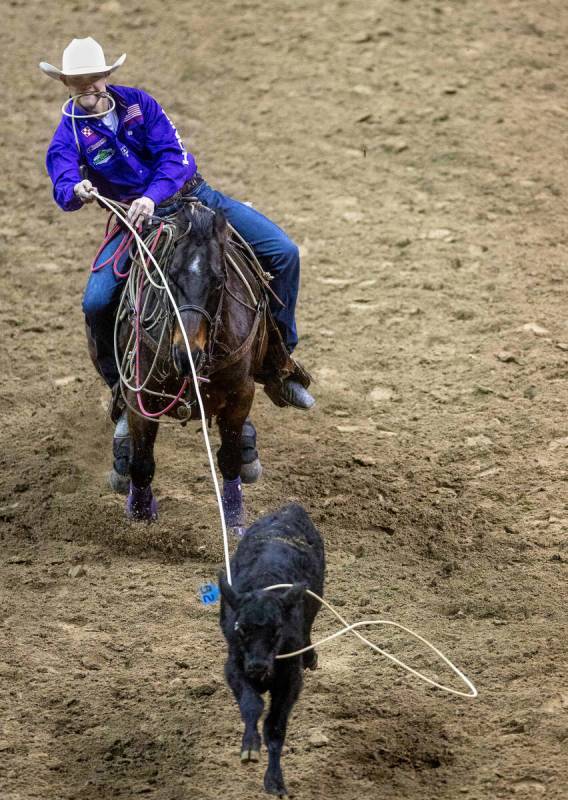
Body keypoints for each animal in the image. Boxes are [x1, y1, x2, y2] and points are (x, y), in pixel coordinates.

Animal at [220, 504, 324, 796]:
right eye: (241, 628)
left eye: (278, 629)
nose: (258, 666)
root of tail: (290, 508)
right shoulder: (234, 665)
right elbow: (252, 705)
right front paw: (249, 748)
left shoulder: (290, 679)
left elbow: (275, 727)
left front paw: (275, 780)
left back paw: (311, 656)